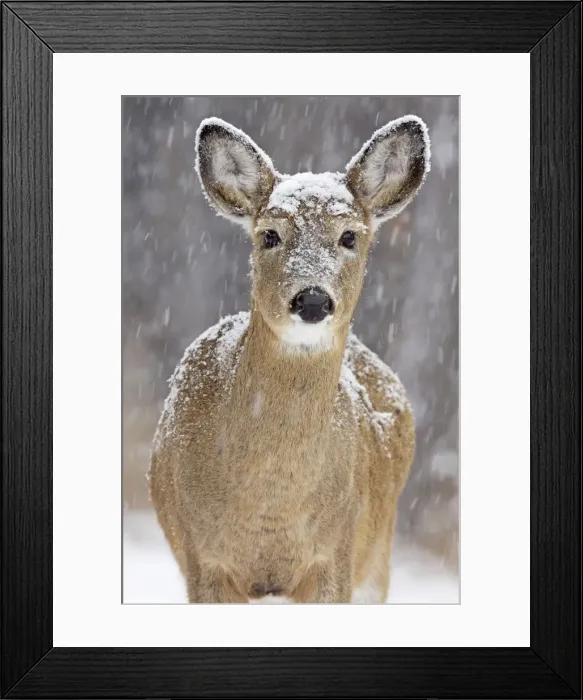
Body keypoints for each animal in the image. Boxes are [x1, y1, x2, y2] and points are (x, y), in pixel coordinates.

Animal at [148, 115, 430, 603]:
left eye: (349, 235)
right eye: (270, 234)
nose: (313, 300)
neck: (271, 503)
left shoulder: (336, 555)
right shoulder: (202, 559)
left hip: (378, 558)